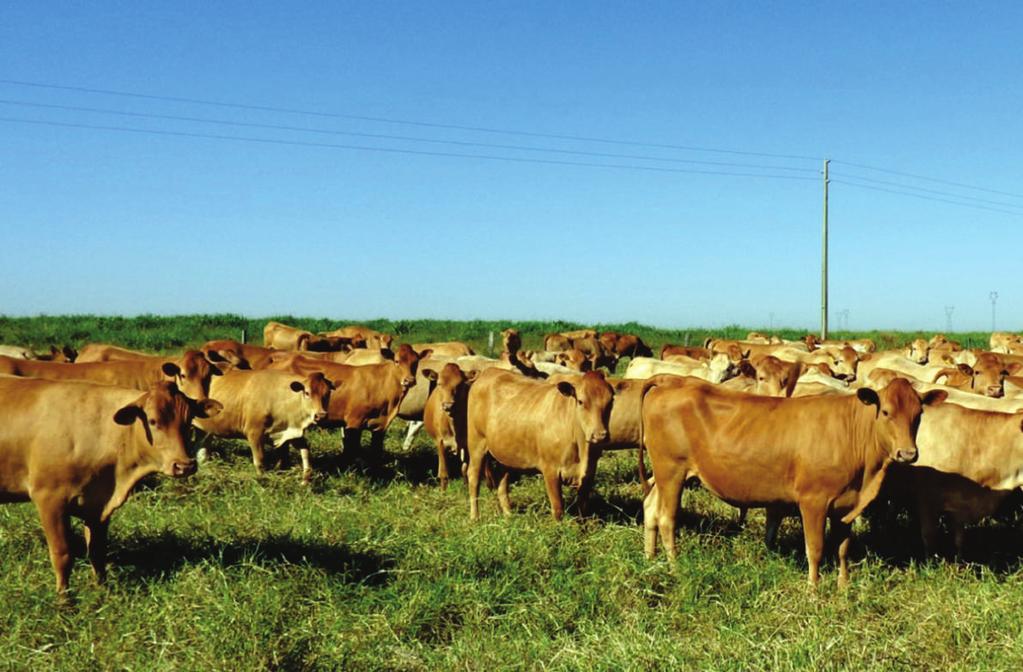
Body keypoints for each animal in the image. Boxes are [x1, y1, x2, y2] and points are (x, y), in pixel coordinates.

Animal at [0, 376, 221, 593]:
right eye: (152, 421)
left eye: (188, 420)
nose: (184, 465)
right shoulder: (49, 498)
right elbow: (62, 554)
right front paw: (65, 598)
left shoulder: (99, 504)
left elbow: (97, 552)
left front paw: (102, 591)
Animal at [193, 366, 333, 482]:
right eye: (307, 393)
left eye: (327, 394)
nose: (321, 415)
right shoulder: (254, 433)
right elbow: (259, 460)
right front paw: (262, 481)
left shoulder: (292, 433)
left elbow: (305, 453)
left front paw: (305, 480)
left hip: (205, 430)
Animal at [466, 366, 613, 519]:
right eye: (580, 401)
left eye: (611, 401)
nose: (600, 435)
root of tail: (489, 370)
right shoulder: (550, 470)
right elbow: (558, 509)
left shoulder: (589, 473)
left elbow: (582, 510)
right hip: (476, 443)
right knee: (473, 477)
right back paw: (475, 517)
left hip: (504, 452)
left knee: (502, 480)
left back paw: (508, 515)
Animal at [642, 376, 945, 589]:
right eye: (885, 412)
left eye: (919, 414)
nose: (908, 453)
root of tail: (672, 382)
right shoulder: (813, 501)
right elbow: (816, 548)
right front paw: (813, 591)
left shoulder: (845, 505)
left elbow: (843, 548)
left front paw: (843, 587)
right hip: (671, 471)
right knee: (667, 518)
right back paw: (674, 567)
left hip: (663, 474)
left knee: (650, 509)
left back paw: (650, 558)